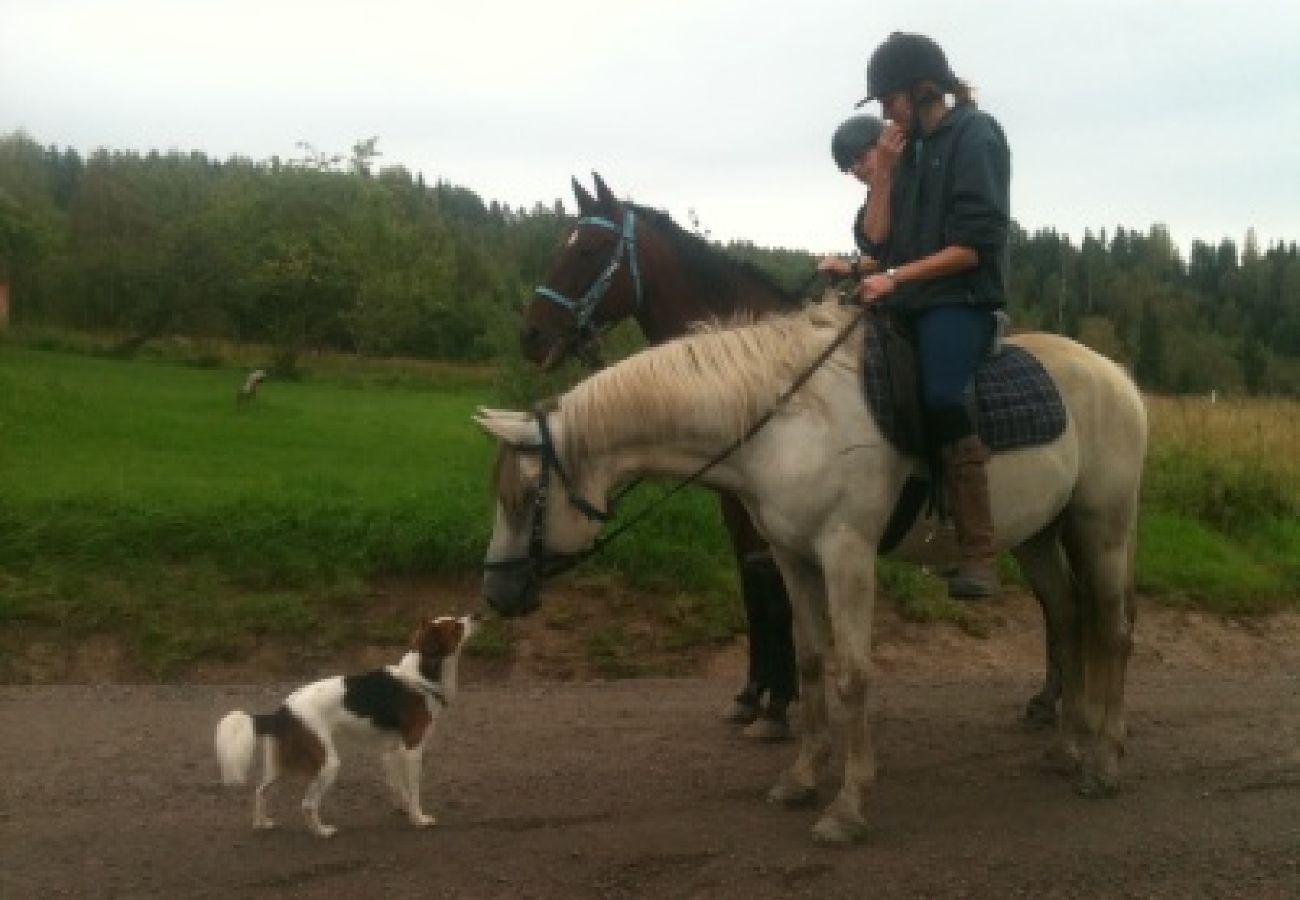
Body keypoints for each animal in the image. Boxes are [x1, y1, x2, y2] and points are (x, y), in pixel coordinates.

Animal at [213, 611, 478, 837]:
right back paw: (322, 832)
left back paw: (262, 823)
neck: (422, 675)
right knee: (307, 804)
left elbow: (397, 785)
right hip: (328, 763)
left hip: (281, 765)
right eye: (456, 626)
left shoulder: (392, 751)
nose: (476, 615)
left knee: (261, 790)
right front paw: (419, 818)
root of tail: (281, 713)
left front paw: (403, 808)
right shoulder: (413, 749)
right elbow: (413, 790)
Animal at [478, 301, 1149, 842]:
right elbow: (808, 659)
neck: (786, 420)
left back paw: (1105, 762)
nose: (496, 593)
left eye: (526, 495)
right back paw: (1065, 747)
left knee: (1112, 632)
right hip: (1038, 535)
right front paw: (801, 778)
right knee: (1067, 618)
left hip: (1104, 526)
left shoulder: (845, 552)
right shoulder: (791, 555)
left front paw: (848, 807)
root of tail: (1118, 375)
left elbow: (852, 672)